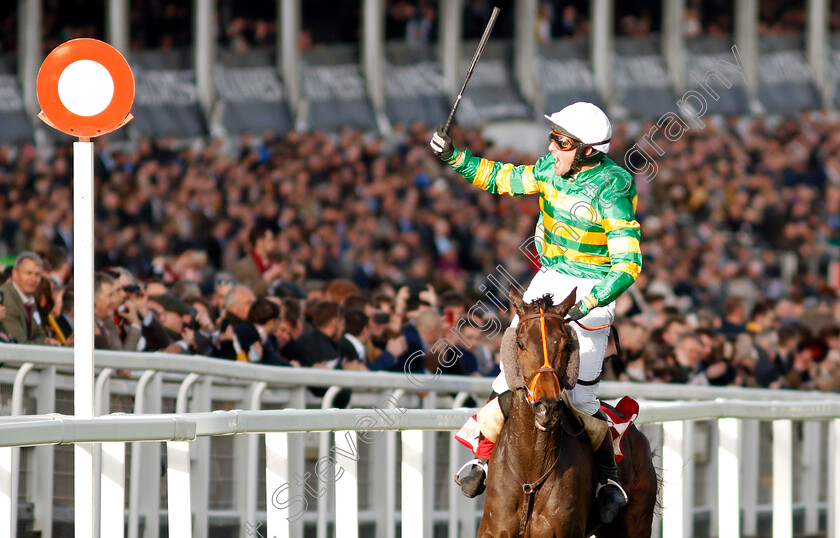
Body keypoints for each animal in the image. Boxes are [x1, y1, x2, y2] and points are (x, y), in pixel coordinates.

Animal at [480, 288, 656, 536]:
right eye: (520, 343)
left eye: (565, 344)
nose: (546, 407)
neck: (530, 479)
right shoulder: (493, 529)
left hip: (636, 521)